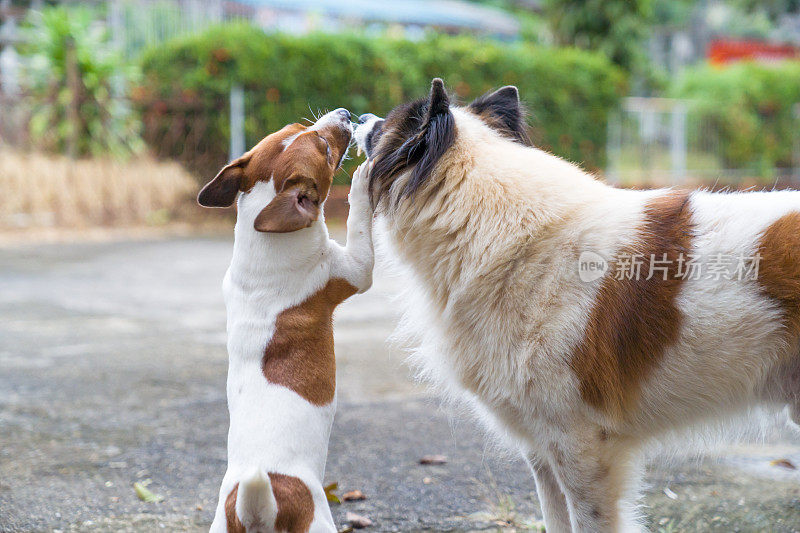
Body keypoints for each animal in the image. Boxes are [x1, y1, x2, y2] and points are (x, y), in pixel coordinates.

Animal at [200, 109, 376, 532]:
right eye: (325, 149)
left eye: (298, 128)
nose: (345, 114)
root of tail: (252, 506)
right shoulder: (355, 269)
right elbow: (360, 222)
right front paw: (363, 179)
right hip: (319, 521)